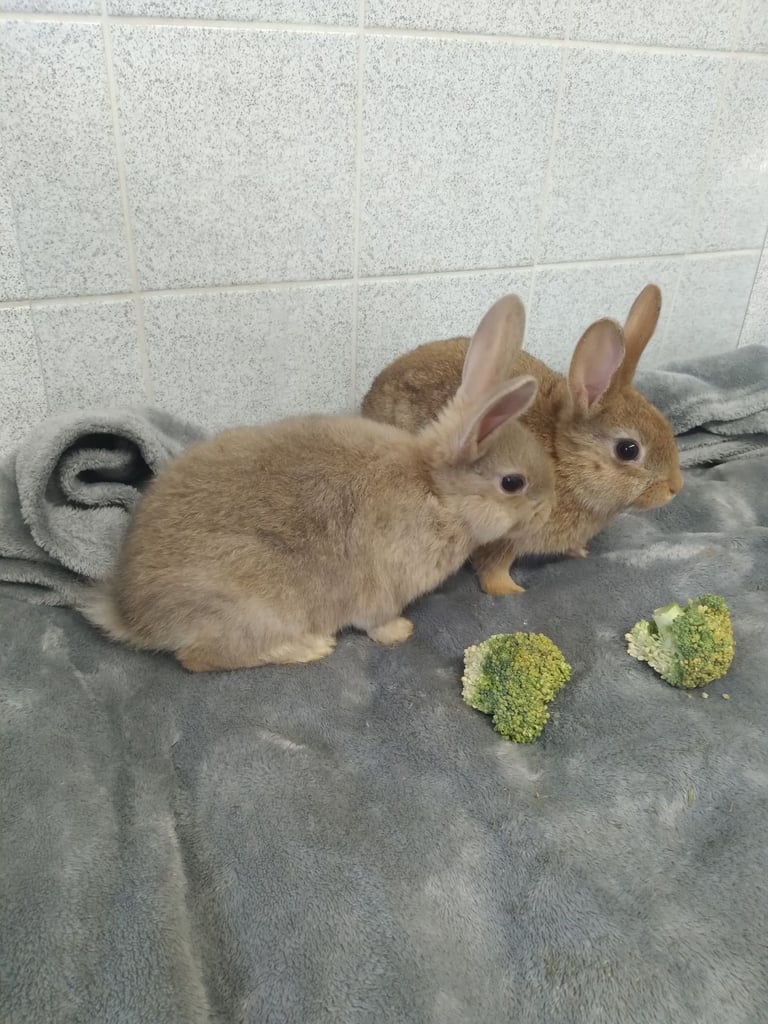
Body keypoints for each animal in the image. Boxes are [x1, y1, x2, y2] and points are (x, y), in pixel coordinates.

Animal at [82, 294, 555, 672]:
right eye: (513, 483)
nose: (548, 509)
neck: (436, 491)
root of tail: (130, 615)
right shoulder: (382, 588)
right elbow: (377, 621)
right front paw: (400, 631)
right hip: (255, 607)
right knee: (199, 659)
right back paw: (310, 647)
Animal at [362, 284, 683, 596]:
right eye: (628, 449)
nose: (675, 487)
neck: (562, 456)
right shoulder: (504, 533)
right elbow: (494, 566)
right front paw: (510, 590)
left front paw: (580, 551)